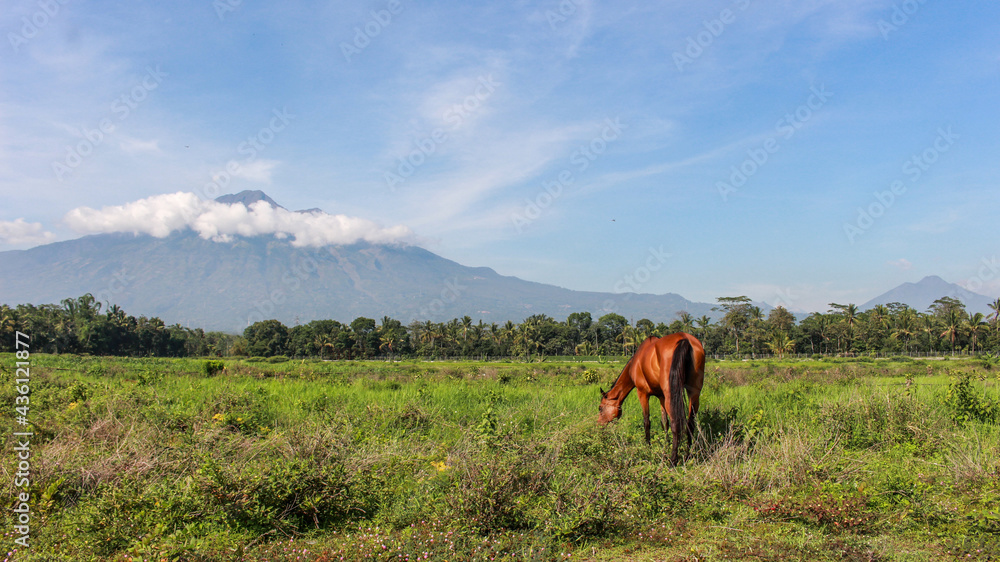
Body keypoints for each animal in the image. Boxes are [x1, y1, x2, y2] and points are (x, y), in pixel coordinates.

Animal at [597, 332, 705, 466]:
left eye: (600, 408)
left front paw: (648, 447)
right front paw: (665, 445)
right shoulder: (661, 396)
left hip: (671, 395)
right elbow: (665, 422)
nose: (599, 425)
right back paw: (687, 456)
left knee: (676, 424)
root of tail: (684, 338)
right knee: (690, 424)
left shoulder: (642, 393)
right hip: (694, 393)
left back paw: (673, 461)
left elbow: (647, 422)